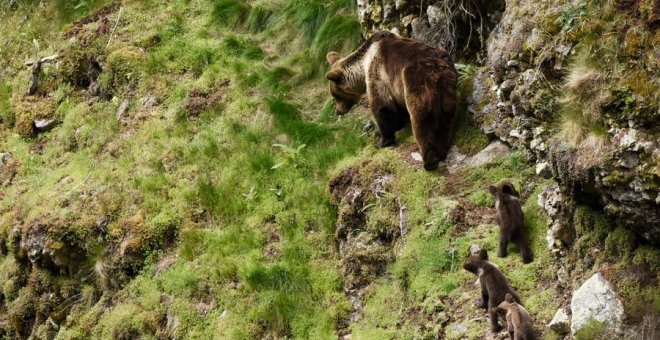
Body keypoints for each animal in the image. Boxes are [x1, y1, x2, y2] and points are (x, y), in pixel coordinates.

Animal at [326, 31, 458, 170]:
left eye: (335, 95)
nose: (338, 111)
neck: (362, 65)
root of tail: (439, 67)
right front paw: (397, 125)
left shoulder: (378, 74)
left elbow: (382, 107)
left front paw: (382, 140)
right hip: (447, 91)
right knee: (446, 117)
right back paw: (442, 149)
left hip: (417, 82)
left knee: (422, 118)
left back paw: (428, 159)